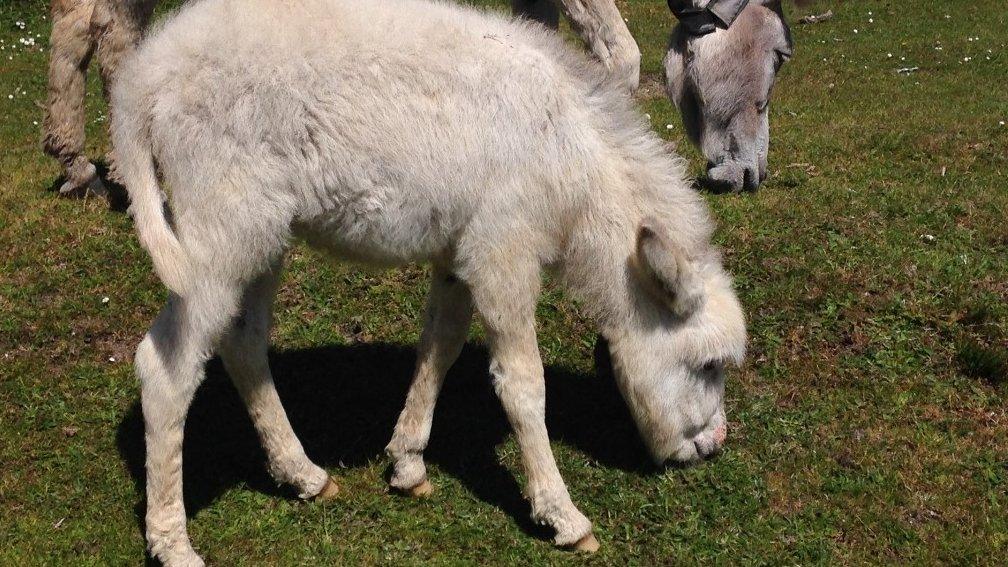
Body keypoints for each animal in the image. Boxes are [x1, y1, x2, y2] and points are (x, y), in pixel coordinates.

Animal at [114, 0, 749, 560]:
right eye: (706, 365)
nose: (714, 447)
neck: (570, 163)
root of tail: (143, 83)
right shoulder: (503, 251)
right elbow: (523, 385)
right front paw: (562, 515)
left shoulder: (460, 251)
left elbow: (439, 347)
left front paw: (407, 460)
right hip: (218, 226)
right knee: (166, 368)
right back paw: (172, 541)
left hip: (261, 232)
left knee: (242, 342)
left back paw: (302, 473)